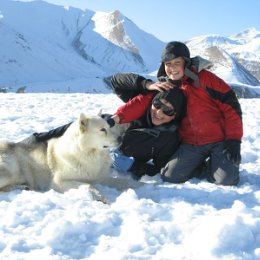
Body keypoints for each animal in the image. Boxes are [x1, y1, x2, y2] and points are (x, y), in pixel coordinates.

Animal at [0, 113, 130, 201]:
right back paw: (20, 187)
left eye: (109, 127)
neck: (88, 154)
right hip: (12, 170)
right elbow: (89, 185)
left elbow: (125, 182)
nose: (121, 139)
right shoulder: (59, 182)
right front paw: (100, 197)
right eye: (102, 130)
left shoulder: (100, 178)